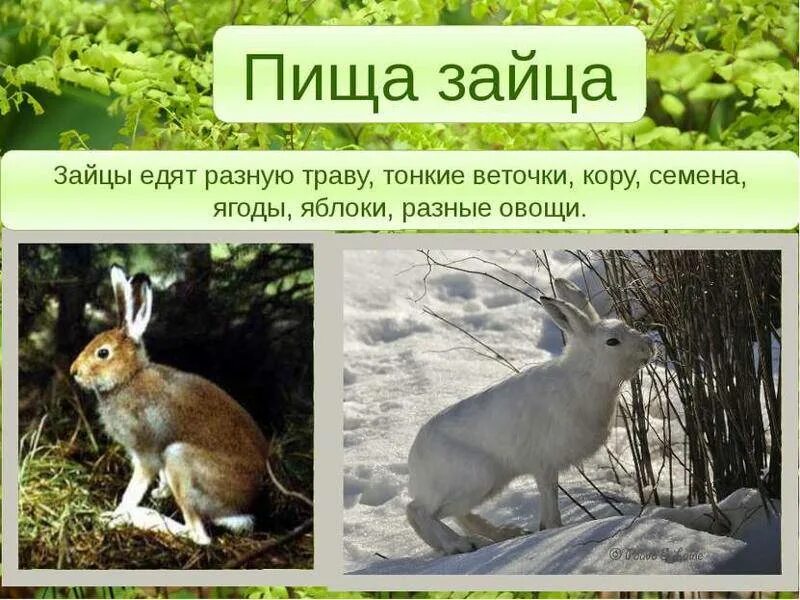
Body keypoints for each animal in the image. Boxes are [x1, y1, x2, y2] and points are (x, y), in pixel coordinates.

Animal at [70, 265, 270, 545]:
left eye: (103, 353)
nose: (74, 371)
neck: (129, 378)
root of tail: (247, 505)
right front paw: (160, 492)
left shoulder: (145, 454)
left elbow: (132, 490)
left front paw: (112, 517)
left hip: (180, 460)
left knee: (198, 535)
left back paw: (143, 518)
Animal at [405, 278, 654, 554]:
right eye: (612, 342)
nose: (649, 346)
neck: (587, 374)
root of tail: (415, 464)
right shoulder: (545, 464)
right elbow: (550, 499)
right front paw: (555, 530)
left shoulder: (544, 467)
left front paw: (544, 530)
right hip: (476, 476)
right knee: (418, 512)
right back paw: (459, 545)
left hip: (487, 483)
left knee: (456, 514)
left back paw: (501, 534)